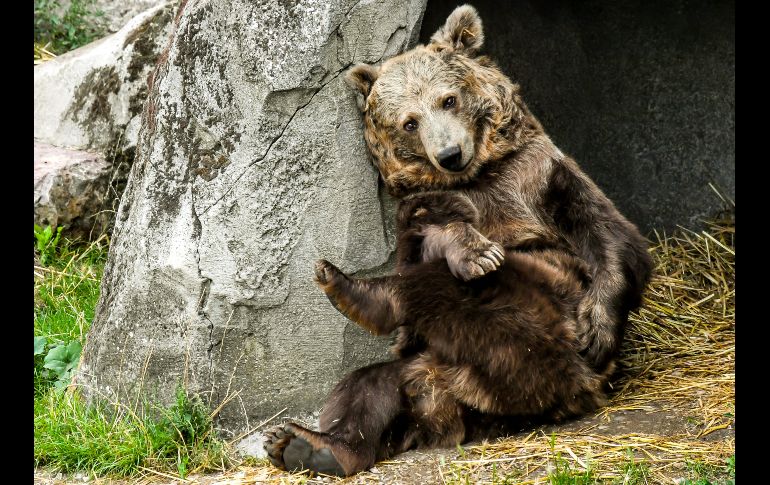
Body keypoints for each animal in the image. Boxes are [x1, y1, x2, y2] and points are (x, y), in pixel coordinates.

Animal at [343, 4, 653, 374]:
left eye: (448, 100)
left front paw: (595, 331)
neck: (480, 175)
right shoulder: (420, 203)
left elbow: (608, 231)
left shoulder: (538, 175)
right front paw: (480, 254)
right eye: (409, 122)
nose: (450, 154)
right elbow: (423, 249)